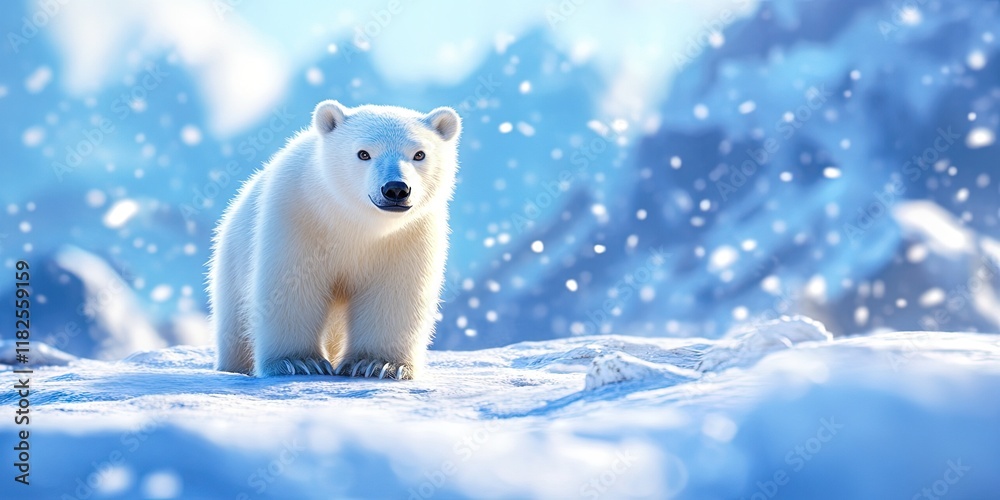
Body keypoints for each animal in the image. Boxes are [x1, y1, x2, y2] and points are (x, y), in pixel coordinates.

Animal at [208, 100, 461, 379]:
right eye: (363, 153)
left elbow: (394, 290)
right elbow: (290, 286)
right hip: (231, 262)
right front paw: (298, 362)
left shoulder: (408, 236)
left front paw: (377, 364)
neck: (355, 223)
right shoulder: (298, 217)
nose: (396, 189)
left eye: (419, 154)